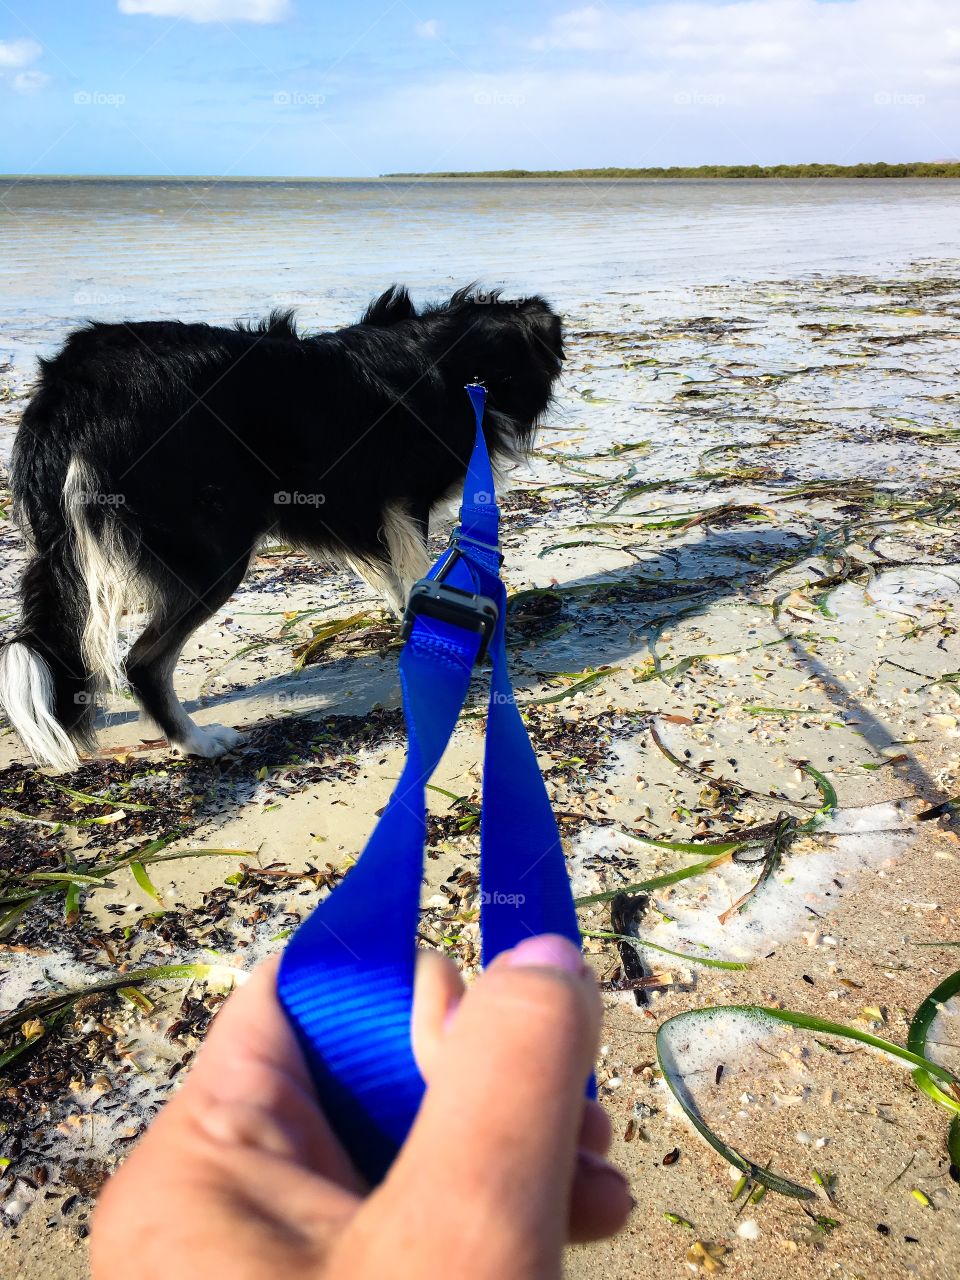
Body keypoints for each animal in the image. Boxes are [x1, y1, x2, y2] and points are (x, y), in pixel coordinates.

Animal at [0, 290, 563, 768]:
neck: (455, 358)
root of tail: (70, 389)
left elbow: (397, 580)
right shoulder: (404, 503)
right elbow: (416, 571)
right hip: (215, 552)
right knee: (143, 662)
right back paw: (198, 742)